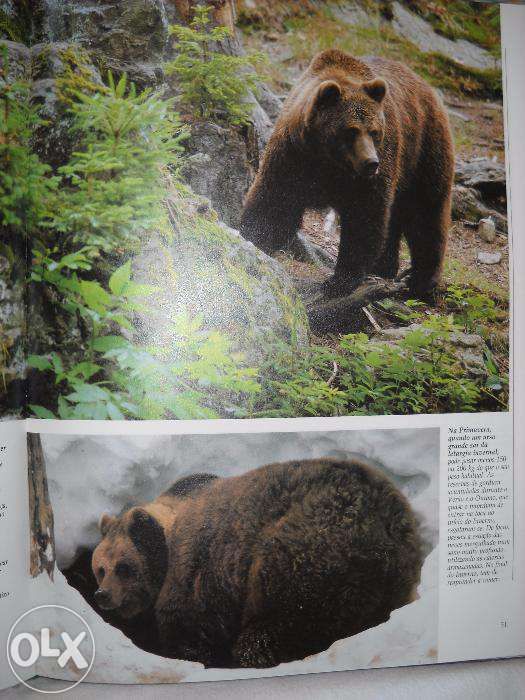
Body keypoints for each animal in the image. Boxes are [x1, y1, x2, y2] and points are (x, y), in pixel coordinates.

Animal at [92, 456, 424, 668]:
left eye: (124, 568)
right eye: (100, 569)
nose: (101, 595)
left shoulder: (196, 579)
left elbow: (191, 635)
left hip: (300, 554)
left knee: (275, 622)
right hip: (390, 578)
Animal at [239, 47, 452, 300]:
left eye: (374, 131)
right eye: (351, 131)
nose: (371, 163)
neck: (329, 162)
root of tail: (426, 86)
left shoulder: (369, 176)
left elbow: (364, 219)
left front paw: (339, 281)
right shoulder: (293, 156)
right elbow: (274, 203)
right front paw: (254, 239)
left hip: (421, 150)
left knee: (425, 211)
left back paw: (422, 281)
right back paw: (384, 267)